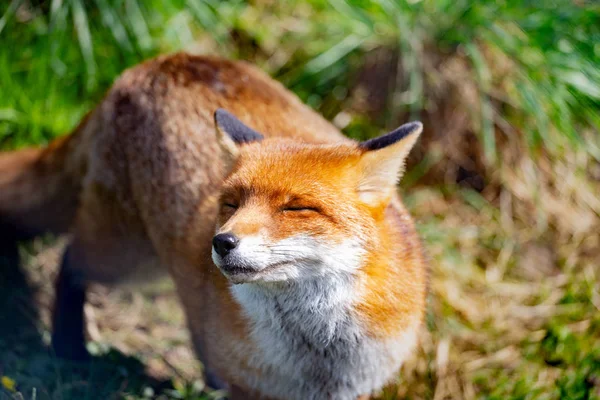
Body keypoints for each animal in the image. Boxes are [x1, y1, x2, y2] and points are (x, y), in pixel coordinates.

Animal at [0, 54, 426, 400]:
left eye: (297, 207)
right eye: (232, 204)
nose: (222, 242)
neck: (317, 352)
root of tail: (159, 61)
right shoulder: (248, 386)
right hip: (125, 255)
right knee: (70, 259)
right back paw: (68, 347)